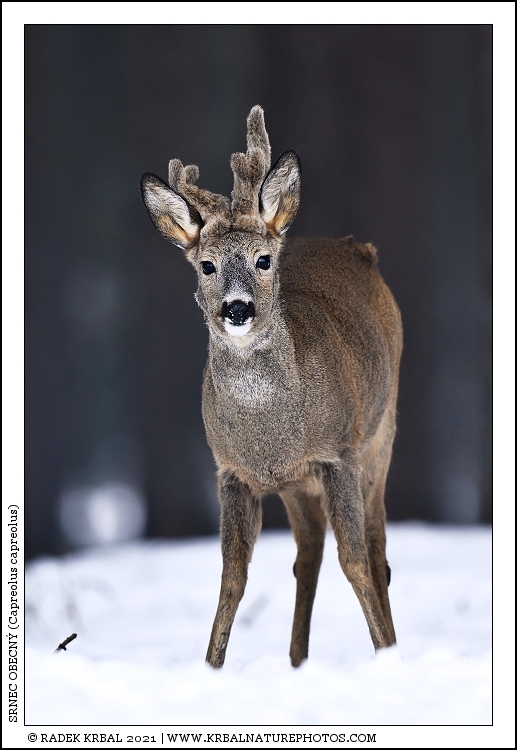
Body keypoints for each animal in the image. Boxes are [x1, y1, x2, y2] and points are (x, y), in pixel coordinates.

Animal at [141, 105, 402, 669]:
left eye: (263, 259)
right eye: (207, 264)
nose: (237, 308)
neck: (272, 435)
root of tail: (355, 246)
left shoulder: (336, 454)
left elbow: (355, 562)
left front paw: (382, 651)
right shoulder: (231, 470)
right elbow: (232, 578)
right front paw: (211, 667)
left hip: (381, 433)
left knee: (375, 548)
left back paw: (390, 646)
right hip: (297, 485)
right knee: (309, 554)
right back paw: (297, 659)